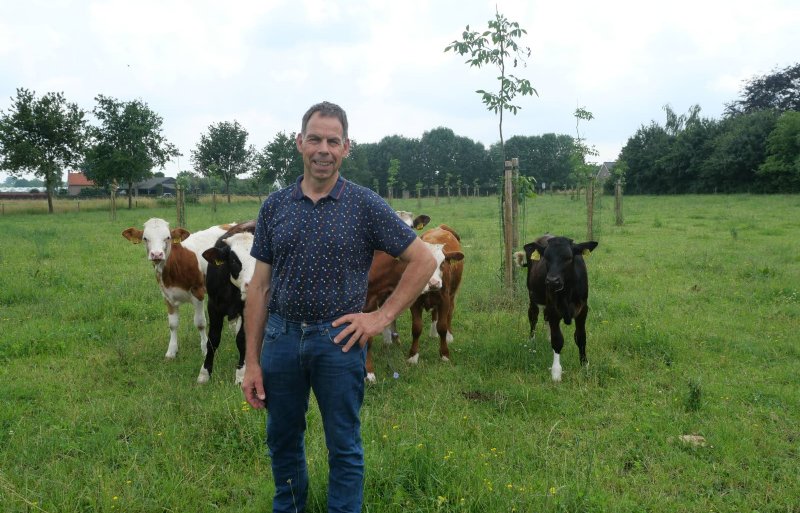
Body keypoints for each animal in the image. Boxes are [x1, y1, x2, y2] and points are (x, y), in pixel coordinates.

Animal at [121, 218, 231, 358]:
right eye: (145, 238)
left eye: (167, 237)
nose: (156, 254)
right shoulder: (167, 295)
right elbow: (173, 324)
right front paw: (171, 351)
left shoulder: (198, 291)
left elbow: (200, 323)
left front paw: (205, 349)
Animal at [516, 235, 596, 380]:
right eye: (546, 257)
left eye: (569, 258)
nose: (552, 281)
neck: (567, 292)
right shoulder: (554, 309)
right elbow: (558, 340)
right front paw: (556, 372)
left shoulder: (583, 310)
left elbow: (581, 337)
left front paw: (584, 366)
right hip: (533, 296)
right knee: (533, 317)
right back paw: (531, 341)